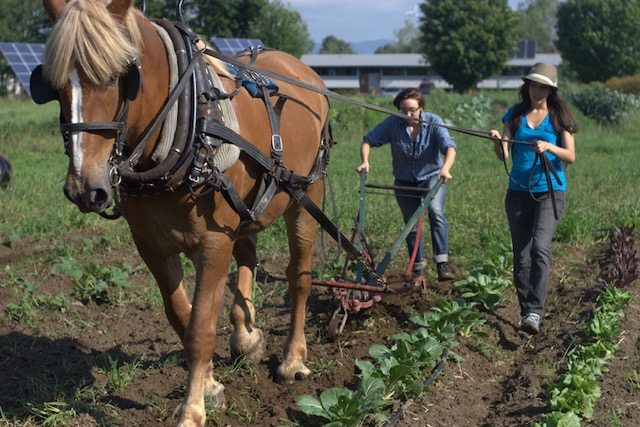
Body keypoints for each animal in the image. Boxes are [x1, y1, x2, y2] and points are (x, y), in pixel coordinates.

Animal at [36, 1, 330, 426]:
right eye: (52, 84)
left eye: (120, 77)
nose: (84, 189)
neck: (187, 126)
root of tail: (302, 69)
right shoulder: (150, 245)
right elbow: (180, 314)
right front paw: (210, 384)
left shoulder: (213, 242)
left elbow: (200, 328)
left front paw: (193, 409)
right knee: (248, 252)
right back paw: (246, 336)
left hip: (306, 196)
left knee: (300, 278)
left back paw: (292, 359)